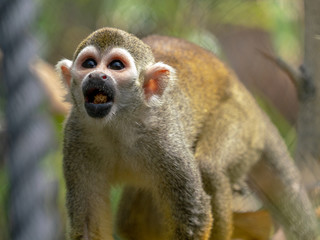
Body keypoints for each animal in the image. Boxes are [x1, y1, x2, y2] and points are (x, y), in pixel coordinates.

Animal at [56, 27, 318, 239]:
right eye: (89, 64)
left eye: (116, 66)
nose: (96, 75)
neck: (118, 124)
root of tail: (248, 98)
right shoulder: (75, 135)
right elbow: (88, 222)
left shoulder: (165, 136)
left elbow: (193, 216)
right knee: (130, 221)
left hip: (242, 121)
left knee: (209, 167)